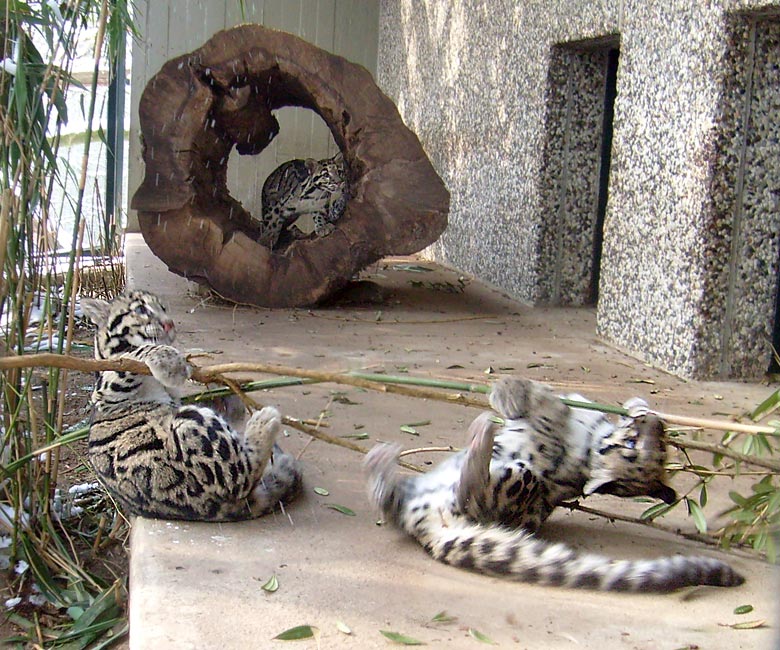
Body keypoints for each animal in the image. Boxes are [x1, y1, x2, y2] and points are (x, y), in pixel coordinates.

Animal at [81, 292, 302, 520]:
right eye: (141, 310)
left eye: (163, 308)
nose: (170, 323)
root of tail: (220, 509)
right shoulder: (107, 390)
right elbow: (132, 354)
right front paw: (172, 362)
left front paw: (209, 378)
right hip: (192, 425)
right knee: (243, 476)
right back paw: (263, 422)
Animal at [366, 374, 744, 592]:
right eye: (641, 441)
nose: (654, 423)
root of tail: (433, 526)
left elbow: (545, 400)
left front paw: (505, 397)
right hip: (412, 495)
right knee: (390, 502)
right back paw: (380, 464)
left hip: (518, 480)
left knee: (471, 491)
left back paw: (480, 435)